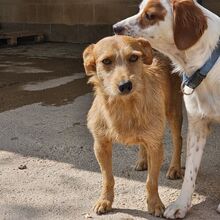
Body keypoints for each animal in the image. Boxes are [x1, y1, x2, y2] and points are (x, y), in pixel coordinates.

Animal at [82, 36, 182, 217]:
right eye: (106, 61)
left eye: (134, 57)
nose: (125, 85)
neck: (124, 106)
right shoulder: (100, 145)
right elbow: (107, 178)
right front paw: (105, 200)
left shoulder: (156, 145)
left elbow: (151, 181)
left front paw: (155, 204)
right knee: (142, 143)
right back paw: (142, 161)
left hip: (174, 113)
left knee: (178, 139)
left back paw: (175, 168)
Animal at [113, 0, 220, 218]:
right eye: (139, 9)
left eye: (150, 15)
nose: (115, 28)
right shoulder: (197, 124)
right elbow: (190, 174)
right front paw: (181, 205)